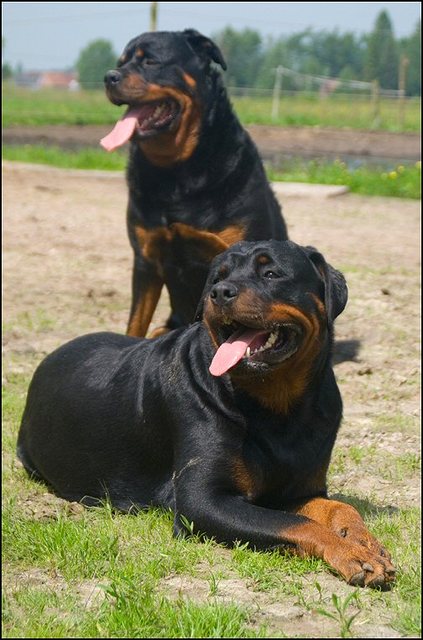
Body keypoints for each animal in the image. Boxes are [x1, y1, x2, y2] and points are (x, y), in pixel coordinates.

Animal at [19, 241, 398, 592]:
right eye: (217, 278)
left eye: (271, 273)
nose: (221, 292)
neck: (277, 409)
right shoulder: (202, 502)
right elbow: (296, 524)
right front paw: (353, 555)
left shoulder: (301, 488)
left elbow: (339, 508)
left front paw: (364, 542)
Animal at [101, 28, 290, 340]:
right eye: (121, 62)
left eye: (150, 62)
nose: (109, 76)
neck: (176, 172)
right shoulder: (146, 259)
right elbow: (135, 323)